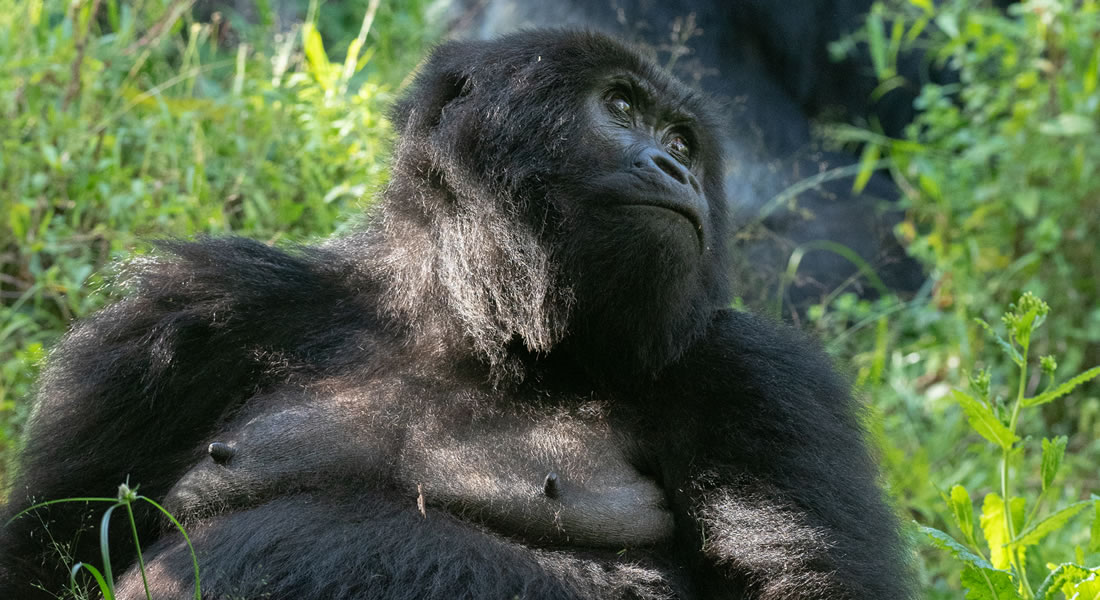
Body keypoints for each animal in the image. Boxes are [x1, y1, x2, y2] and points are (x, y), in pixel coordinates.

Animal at [0, 29, 910, 598]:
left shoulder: (760, 376)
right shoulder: (185, 317)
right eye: (618, 107)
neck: (470, 322)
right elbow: (45, 553)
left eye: (684, 142)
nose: (675, 169)